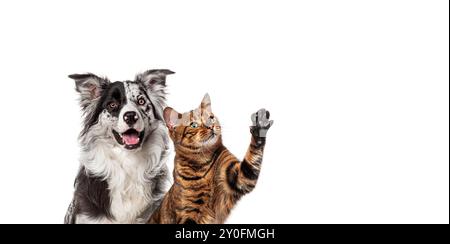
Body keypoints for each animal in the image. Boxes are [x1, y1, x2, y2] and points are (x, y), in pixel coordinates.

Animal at [149, 94, 272, 224]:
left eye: (211, 118)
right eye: (193, 125)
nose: (211, 126)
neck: (203, 163)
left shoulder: (240, 176)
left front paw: (260, 126)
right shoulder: (187, 211)